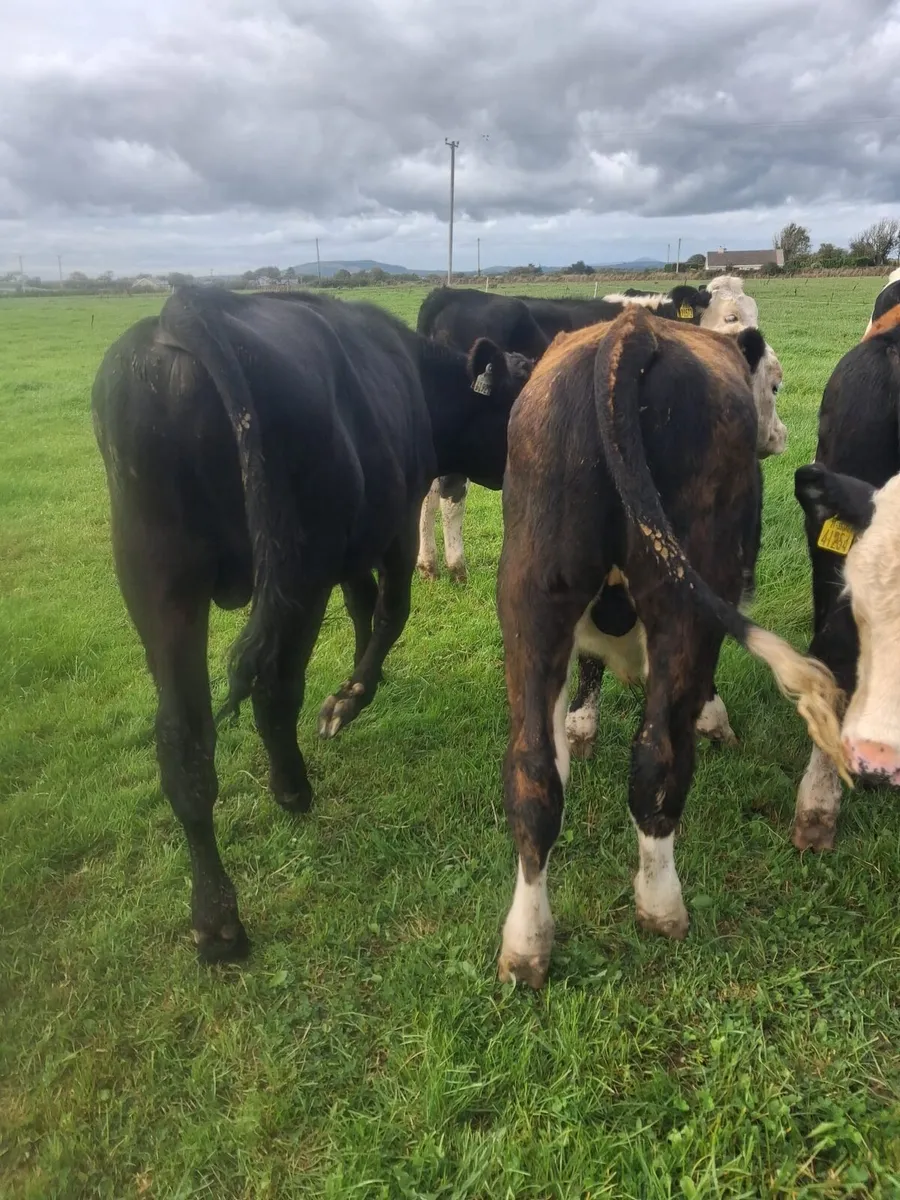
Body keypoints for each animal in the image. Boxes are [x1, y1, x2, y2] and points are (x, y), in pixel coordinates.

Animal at [91, 285, 533, 961]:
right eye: (521, 393)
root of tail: (186, 309)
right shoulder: (390, 525)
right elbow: (390, 610)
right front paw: (350, 698)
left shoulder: (352, 547)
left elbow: (364, 605)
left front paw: (359, 682)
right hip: (298, 567)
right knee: (274, 687)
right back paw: (292, 789)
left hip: (161, 582)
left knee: (183, 738)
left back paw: (215, 918)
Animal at [494, 305, 843, 989]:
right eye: (777, 383)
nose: (781, 434)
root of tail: (628, 332)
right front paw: (713, 718)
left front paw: (579, 732)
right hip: (689, 592)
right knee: (658, 757)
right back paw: (661, 907)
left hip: (530, 593)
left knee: (532, 772)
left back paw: (525, 945)